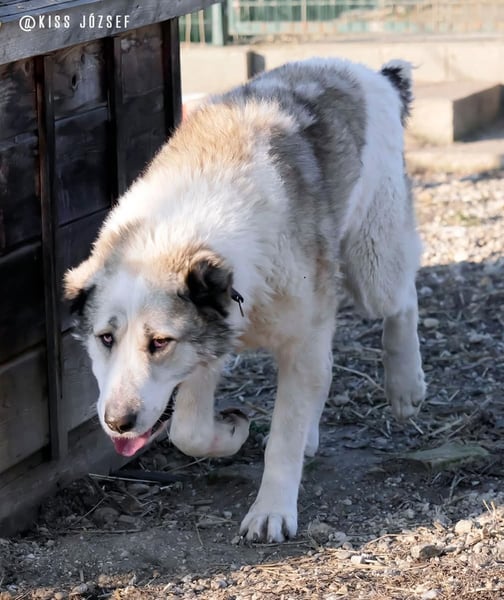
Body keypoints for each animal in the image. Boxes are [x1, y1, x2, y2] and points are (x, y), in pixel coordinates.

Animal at [64, 57, 426, 543]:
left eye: (159, 343)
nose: (117, 423)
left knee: (402, 296)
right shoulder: (209, 344)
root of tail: (367, 72)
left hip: (372, 264)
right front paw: (231, 432)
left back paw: (406, 386)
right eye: (105, 339)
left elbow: (283, 438)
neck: (182, 230)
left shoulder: (297, 340)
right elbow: (188, 432)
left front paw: (271, 511)